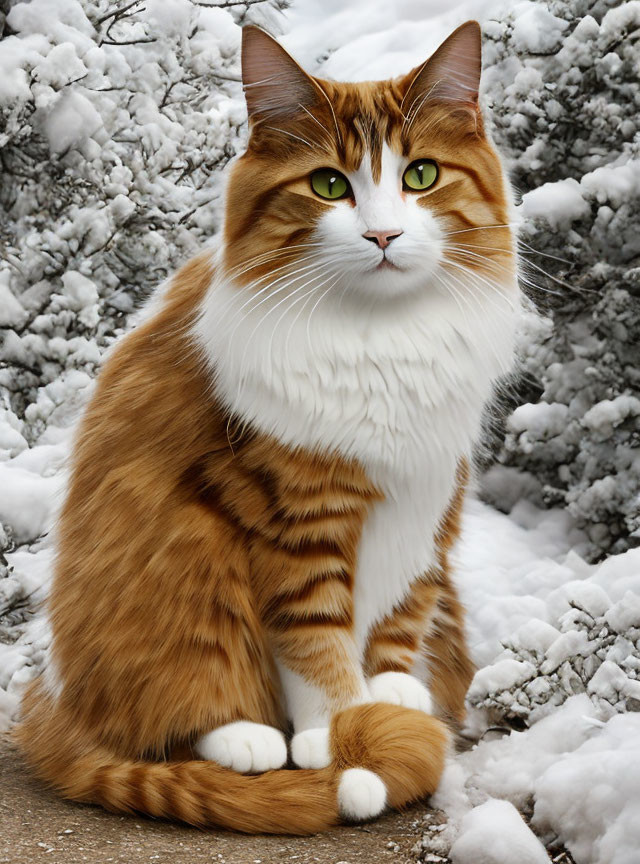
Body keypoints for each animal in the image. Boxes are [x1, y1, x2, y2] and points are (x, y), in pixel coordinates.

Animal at [16, 18, 520, 832]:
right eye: (329, 185)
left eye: (420, 176)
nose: (383, 236)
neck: (385, 339)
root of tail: (53, 700)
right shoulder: (293, 512)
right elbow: (315, 643)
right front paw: (339, 732)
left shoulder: (428, 498)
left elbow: (402, 613)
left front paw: (391, 692)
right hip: (191, 555)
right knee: (174, 710)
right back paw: (246, 737)